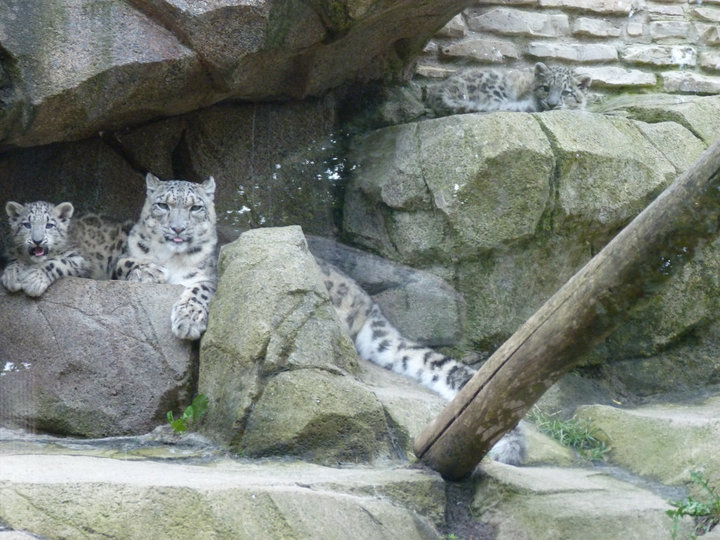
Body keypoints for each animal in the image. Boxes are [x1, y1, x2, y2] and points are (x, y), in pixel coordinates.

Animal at [1, 201, 130, 297]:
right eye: (27, 224)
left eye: (49, 225)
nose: (37, 240)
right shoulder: (11, 251)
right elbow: (16, 259)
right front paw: (12, 275)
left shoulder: (81, 259)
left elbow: (57, 263)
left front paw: (34, 281)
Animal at [114, 173, 217, 341]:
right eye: (163, 205)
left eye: (195, 207)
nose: (178, 228)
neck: (172, 257)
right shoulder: (125, 255)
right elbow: (123, 263)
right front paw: (150, 272)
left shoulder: (210, 277)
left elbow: (201, 290)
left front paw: (189, 320)